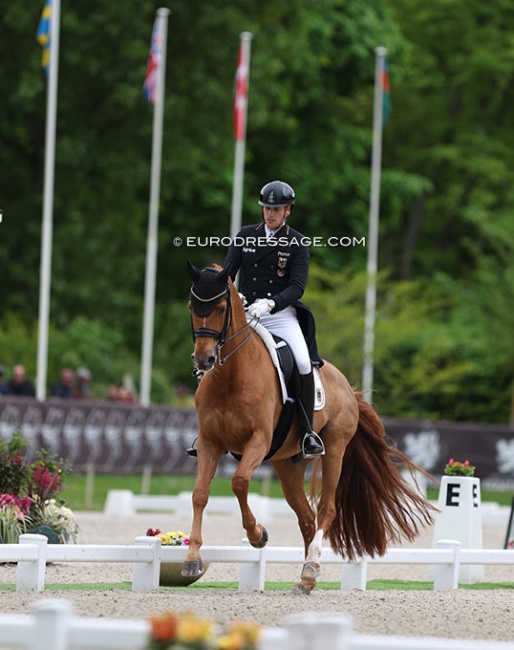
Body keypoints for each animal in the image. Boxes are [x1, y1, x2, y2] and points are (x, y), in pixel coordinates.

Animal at [182, 260, 434, 588]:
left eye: (222, 307)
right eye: (192, 306)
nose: (204, 359)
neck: (231, 377)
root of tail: (348, 387)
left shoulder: (258, 440)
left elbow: (239, 482)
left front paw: (257, 535)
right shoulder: (209, 443)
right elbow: (199, 494)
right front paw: (192, 559)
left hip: (335, 448)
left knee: (326, 508)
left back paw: (311, 566)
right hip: (287, 463)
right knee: (305, 517)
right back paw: (306, 578)